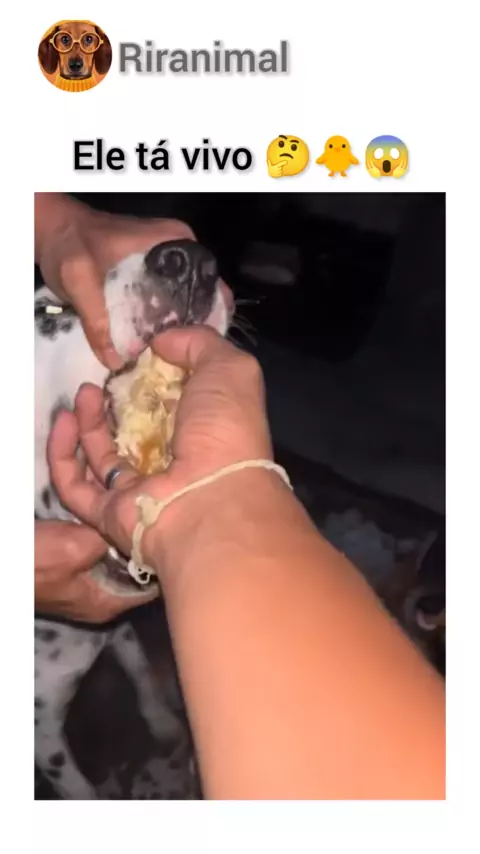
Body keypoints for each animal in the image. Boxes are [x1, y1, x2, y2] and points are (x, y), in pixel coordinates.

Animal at [35, 239, 232, 799]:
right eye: (46, 311)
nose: (188, 261)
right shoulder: (42, 737)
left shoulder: (118, 631)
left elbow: (142, 670)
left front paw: (165, 725)